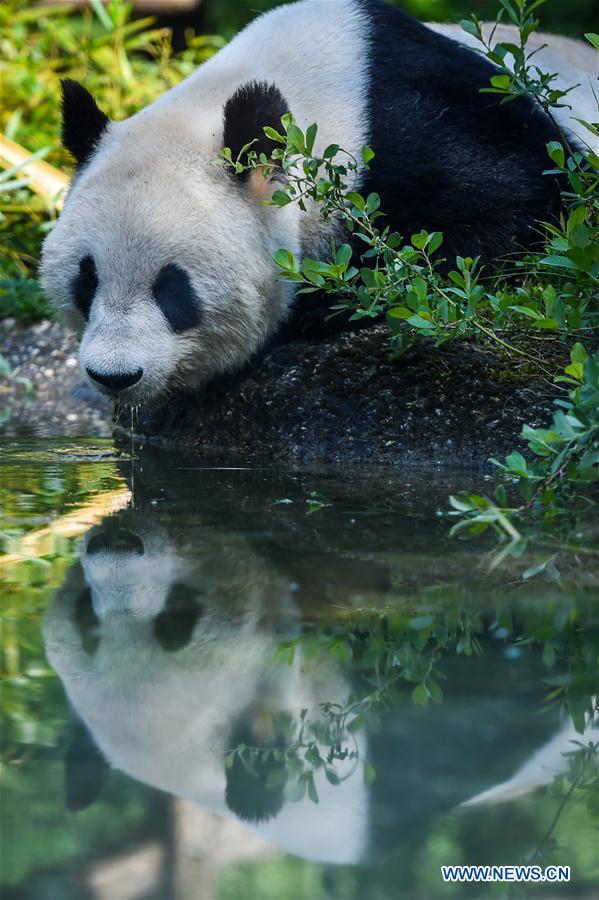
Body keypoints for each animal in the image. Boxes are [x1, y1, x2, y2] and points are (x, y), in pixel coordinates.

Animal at [40, 0, 597, 407]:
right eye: (86, 280)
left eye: (173, 288)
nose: (114, 375)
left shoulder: (428, 124)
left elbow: (514, 207)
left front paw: (320, 306)